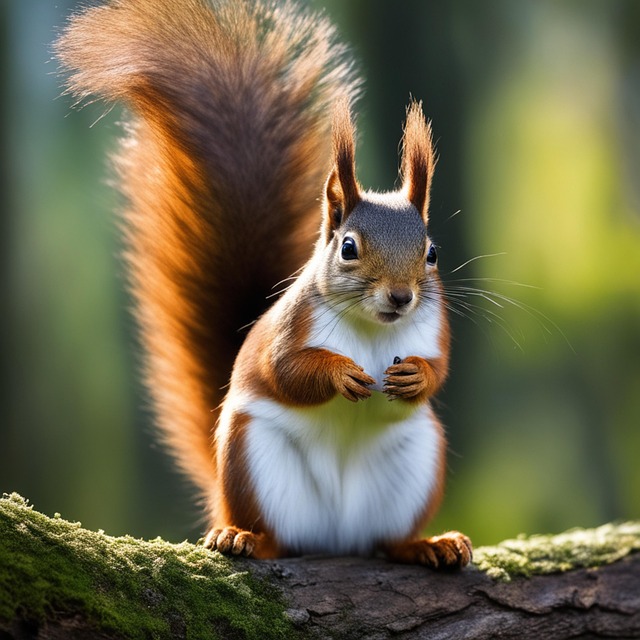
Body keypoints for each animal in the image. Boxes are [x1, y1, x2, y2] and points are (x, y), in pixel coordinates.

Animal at [56, 0, 472, 568]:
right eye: (348, 247)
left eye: (432, 253)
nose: (401, 296)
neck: (373, 327)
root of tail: (334, 540)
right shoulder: (290, 328)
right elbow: (286, 371)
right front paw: (340, 373)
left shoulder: (434, 328)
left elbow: (441, 368)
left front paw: (415, 376)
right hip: (253, 460)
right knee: (275, 535)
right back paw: (244, 537)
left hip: (415, 465)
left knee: (387, 542)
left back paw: (426, 544)